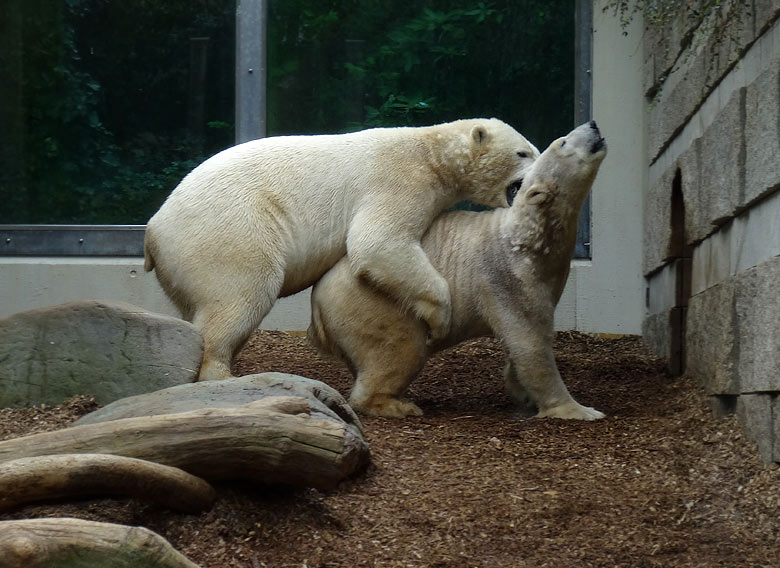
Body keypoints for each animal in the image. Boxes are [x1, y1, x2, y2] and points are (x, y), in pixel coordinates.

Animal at [143, 117, 540, 380]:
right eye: (524, 152)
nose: (540, 175)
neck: (430, 151)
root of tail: (153, 231)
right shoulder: (399, 180)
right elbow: (377, 241)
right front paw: (438, 319)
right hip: (229, 230)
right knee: (241, 294)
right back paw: (221, 372)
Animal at [308, 121, 608, 422]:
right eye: (563, 142)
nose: (593, 124)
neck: (526, 236)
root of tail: (318, 309)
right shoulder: (505, 275)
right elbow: (530, 342)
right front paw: (580, 410)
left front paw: (521, 394)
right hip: (374, 308)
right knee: (400, 349)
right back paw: (398, 404)